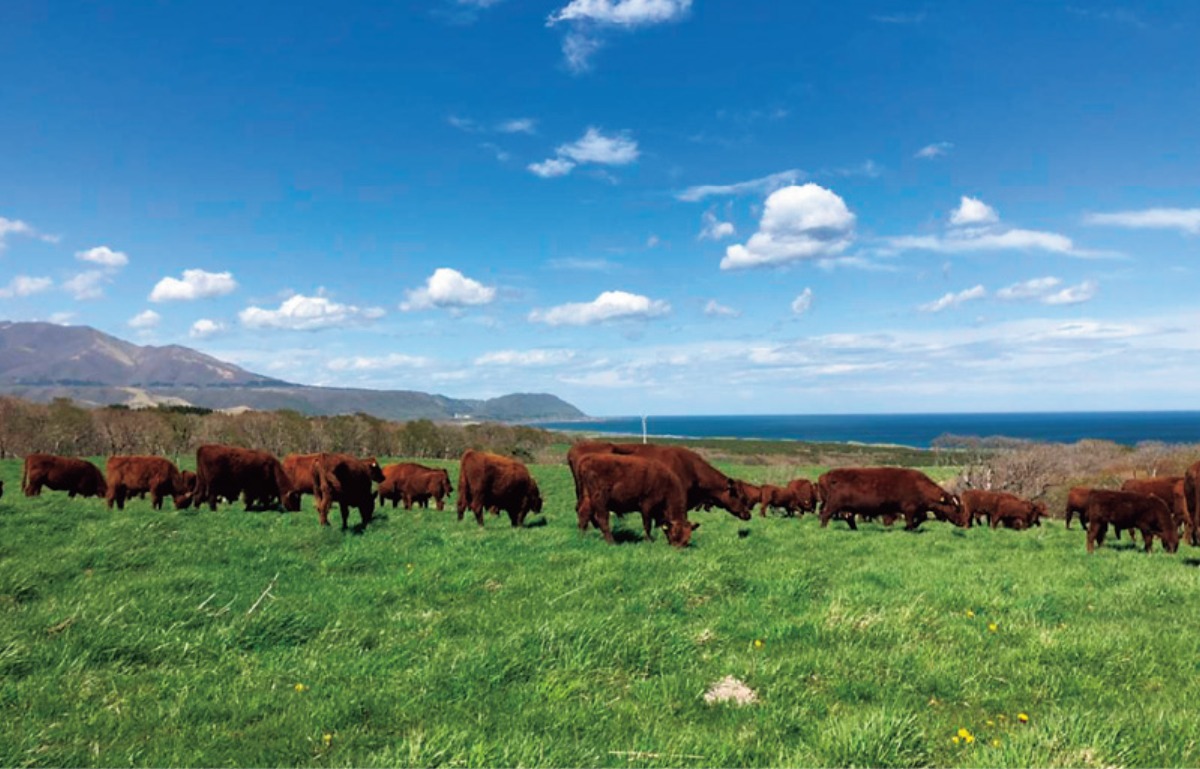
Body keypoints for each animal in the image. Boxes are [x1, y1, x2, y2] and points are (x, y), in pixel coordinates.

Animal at [816, 465, 964, 530]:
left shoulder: (918, 509)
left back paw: (854, 529)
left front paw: (910, 528)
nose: (962, 522)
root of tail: (827, 475)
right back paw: (824, 529)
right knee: (825, 515)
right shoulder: (909, 508)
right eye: (955, 508)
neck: (919, 486)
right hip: (833, 504)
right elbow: (911, 521)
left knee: (848, 518)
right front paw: (910, 529)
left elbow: (922, 517)